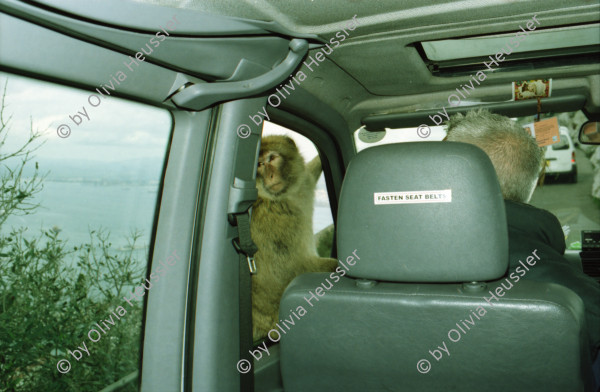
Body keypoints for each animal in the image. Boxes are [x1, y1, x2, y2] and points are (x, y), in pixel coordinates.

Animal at [251, 134, 340, 340]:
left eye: (272, 158)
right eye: (259, 164)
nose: (269, 176)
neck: (285, 197)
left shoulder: (304, 182)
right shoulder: (279, 223)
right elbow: (291, 267)